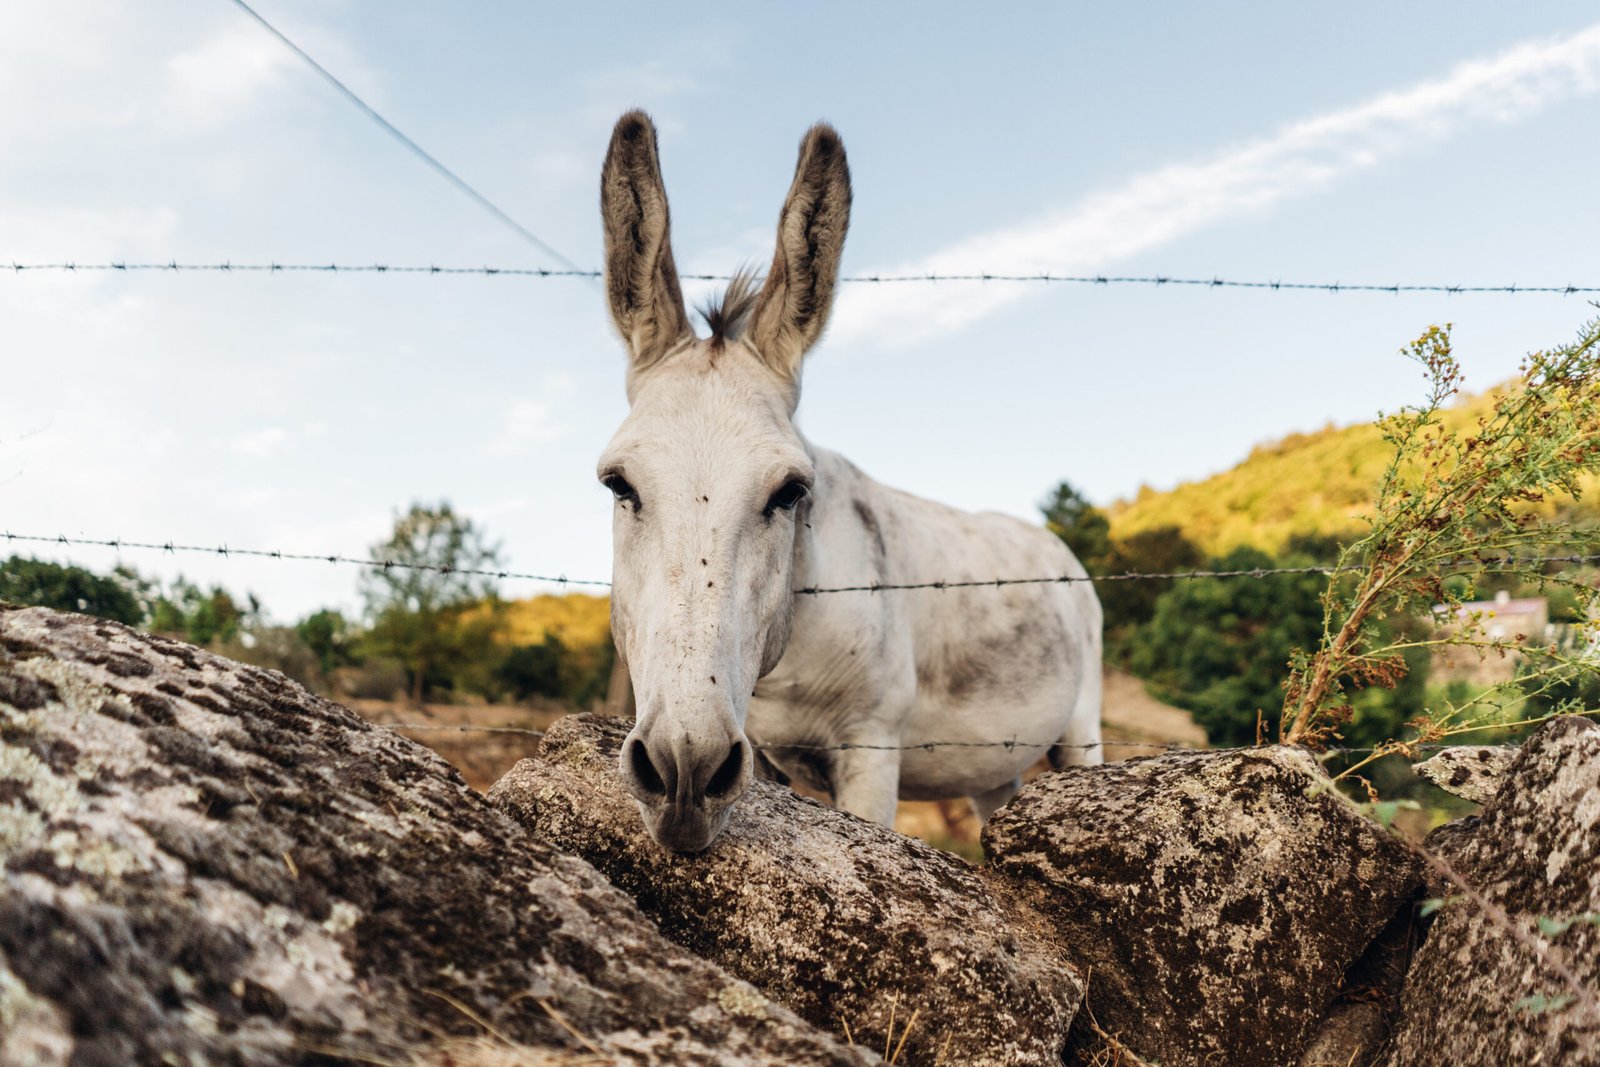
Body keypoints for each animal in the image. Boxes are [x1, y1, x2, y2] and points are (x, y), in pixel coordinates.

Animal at [597, 111, 1102, 852]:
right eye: (619, 485)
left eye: (789, 491)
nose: (684, 774)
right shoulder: (761, 749)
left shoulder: (872, 748)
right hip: (995, 764)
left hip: (1080, 732)